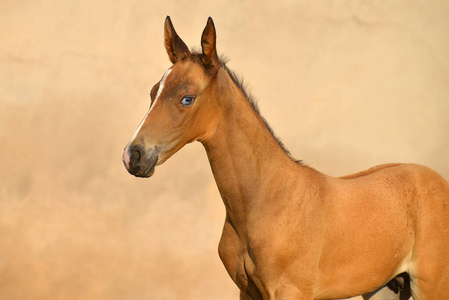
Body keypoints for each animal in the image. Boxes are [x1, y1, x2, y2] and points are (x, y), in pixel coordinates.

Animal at [121, 17, 448, 300]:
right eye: (153, 92)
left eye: (187, 98)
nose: (133, 156)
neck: (264, 200)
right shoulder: (247, 292)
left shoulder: (290, 291)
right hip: (385, 287)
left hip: (431, 285)